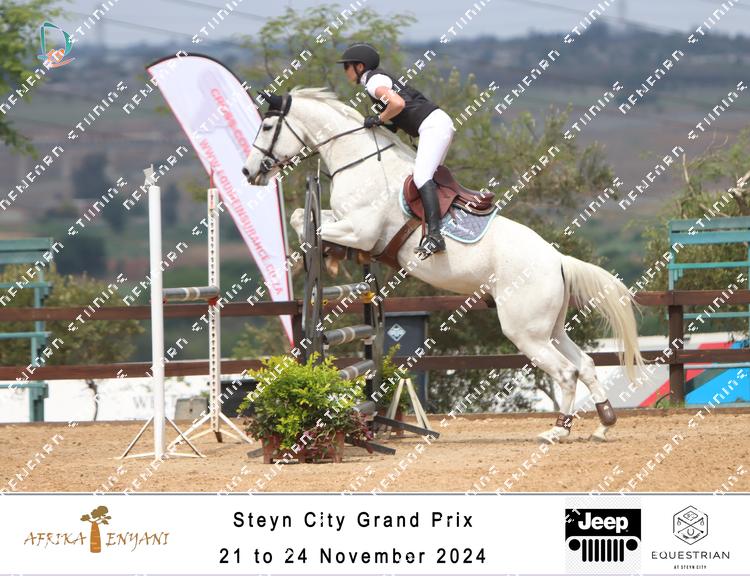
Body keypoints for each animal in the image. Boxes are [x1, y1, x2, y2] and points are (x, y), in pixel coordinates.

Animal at [242, 87, 645, 444]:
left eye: (267, 125)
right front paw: (328, 257)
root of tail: (558, 260)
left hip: (526, 331)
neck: (357, 158)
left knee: (565, 372)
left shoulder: (361, 229)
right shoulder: (351, 226)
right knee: (586, 363)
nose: (248, 173)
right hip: (550, 327)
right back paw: (604, 423)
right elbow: (304, 217)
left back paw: (558, 431)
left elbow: (304, 221)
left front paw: (319, 257)